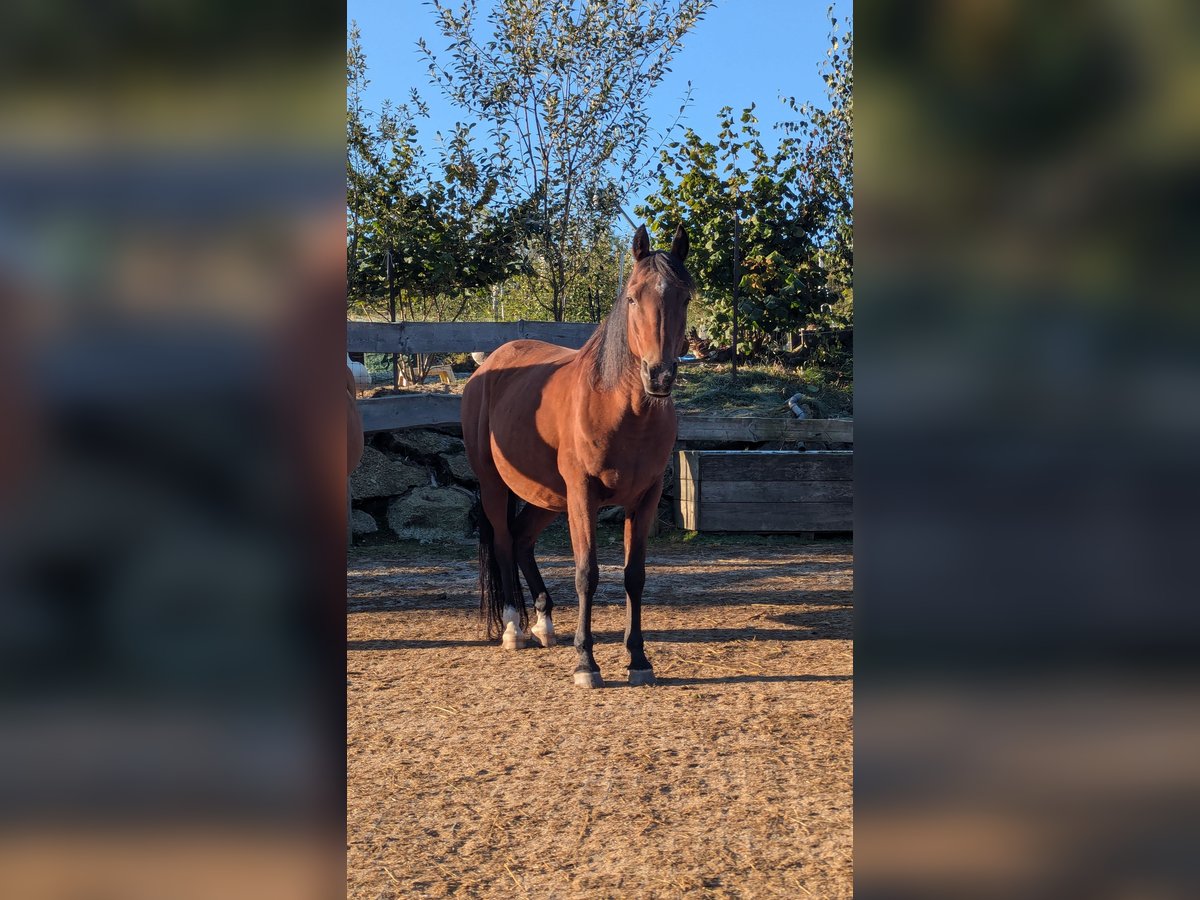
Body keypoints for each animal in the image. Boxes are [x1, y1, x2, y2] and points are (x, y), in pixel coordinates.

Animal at [462, 224, 692, 687]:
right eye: (632, 297)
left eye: (685, 298)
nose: (659, 376)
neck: (618, 407)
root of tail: (487, 368)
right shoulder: (583, 495)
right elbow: (587, 574)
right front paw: (586, 662)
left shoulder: (644, 498)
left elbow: (634, 575)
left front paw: (638, 658)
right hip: (497, 486)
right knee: (503, 540)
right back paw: (513, 628)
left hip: (548, 497)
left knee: (521, 539)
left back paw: (543, 622)